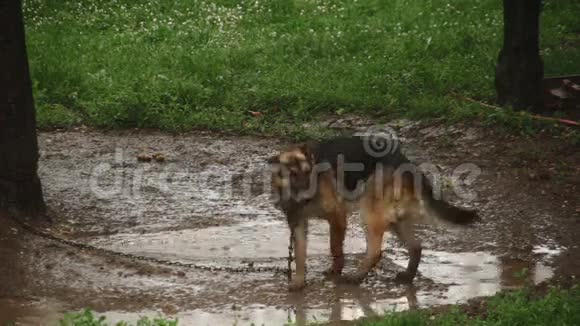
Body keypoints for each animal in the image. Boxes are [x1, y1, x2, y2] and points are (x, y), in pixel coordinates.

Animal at [268, 134, 476, 290]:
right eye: (293, 175)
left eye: (308, 172)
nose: (308, 195)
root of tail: (405, 161)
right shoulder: (298, 224)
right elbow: (299, 254)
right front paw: (299, 281)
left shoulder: (337, 216)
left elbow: (335, 248)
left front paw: (336, 270)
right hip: (396, 221)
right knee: (416, 246)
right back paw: (408, 276)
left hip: (370, 213)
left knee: (376, 251)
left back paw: (356, 277)